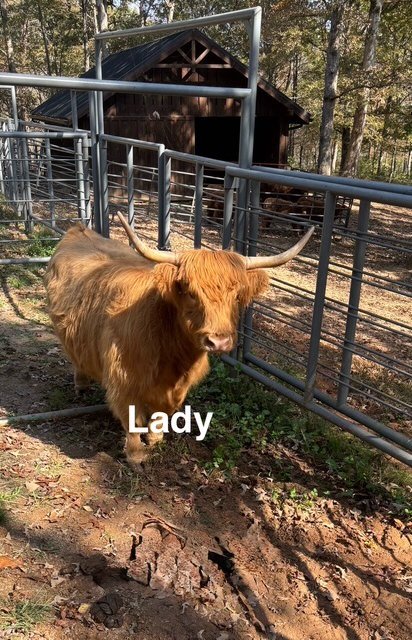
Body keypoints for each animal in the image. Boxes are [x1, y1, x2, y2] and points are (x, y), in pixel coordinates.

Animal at [44, 213, 314, 467]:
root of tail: (79, 229)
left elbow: (161, 414)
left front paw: (155, 439)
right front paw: (136, 456)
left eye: (237, 295)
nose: (219, 342)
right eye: (190, 292)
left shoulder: (179, 386)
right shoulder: (123, 378)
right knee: (76, 359)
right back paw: (81, 385)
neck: (172, 354)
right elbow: (131, 419)